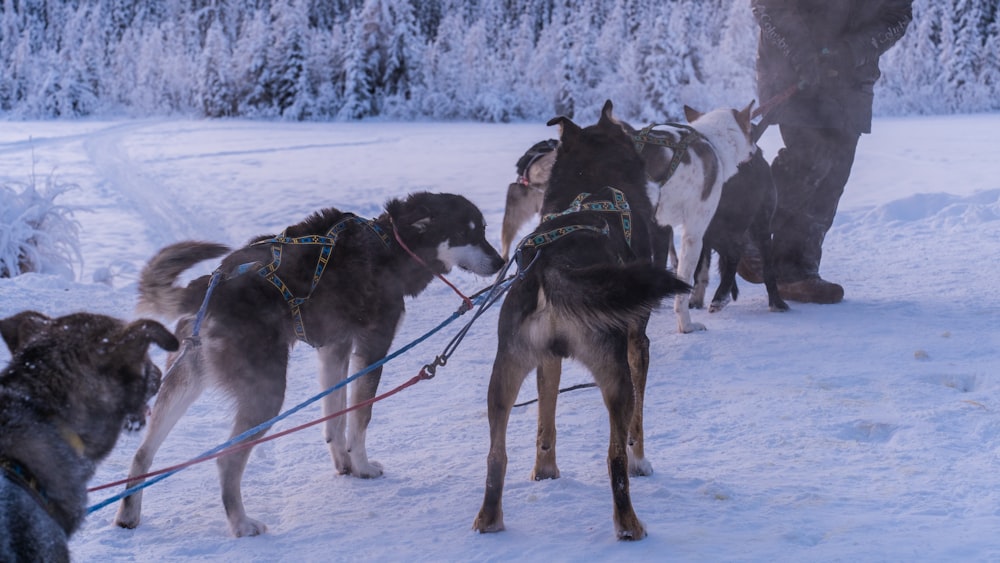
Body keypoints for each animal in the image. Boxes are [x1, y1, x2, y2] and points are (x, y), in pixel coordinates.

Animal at [116, 193, 504, 536]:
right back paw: (241, 524)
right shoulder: (372, 348)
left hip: (184, 382)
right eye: (467, 233)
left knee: (142, 453)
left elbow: (335, 416)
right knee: (226, 459)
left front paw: (345, 464)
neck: (389, 246)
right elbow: (360, 416)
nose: (501, 262)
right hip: (267, 394)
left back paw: (128, 513)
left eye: (484, 230)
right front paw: (362, 466)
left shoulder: (335, 348)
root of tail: (215, 282)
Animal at [472, 101, 692, 540]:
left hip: (504, 375)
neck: (593, 176)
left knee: (496, 455)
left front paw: (546, 471)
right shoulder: (637, 345)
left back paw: (489, 519)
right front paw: (642, 461)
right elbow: (637, 428)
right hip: (616, 377)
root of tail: (553, 265)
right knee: (614, 457)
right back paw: (629, 525)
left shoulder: (548, 360)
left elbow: (546, 421)